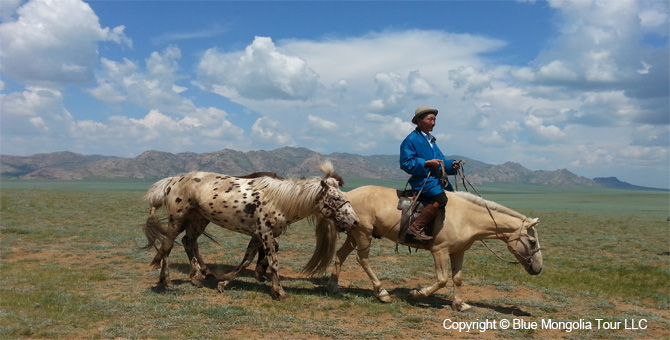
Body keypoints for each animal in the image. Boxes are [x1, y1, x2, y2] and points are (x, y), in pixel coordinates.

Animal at [142, 161, 362, 298]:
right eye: (336, 198)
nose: (354, 222)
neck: (279, 200)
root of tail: (173, 180)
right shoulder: (265, 234)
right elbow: (273, 262)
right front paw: (280, 292)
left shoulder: (259, 236)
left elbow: (247, 260)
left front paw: (224, 283)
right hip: (177, 219)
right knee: (167, 246)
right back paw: (165, 282)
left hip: (199, 220)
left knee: (188, 242)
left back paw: (196, 277)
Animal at [302, 186, 544, 310]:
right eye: (532, 242)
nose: (538, 269)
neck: (467, 217)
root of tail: (346, 196)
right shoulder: (440, 251)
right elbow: (442, 279)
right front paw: (417, 293)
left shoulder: (458, 252)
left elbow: (457, 279)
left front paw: (460, 304)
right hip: (363, 235)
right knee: (363, 260)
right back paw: (382, 293)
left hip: (354, 235)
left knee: (340, 255)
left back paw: (334, 287)